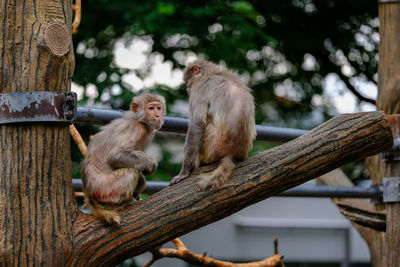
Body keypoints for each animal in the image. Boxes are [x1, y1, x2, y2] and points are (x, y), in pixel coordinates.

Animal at [81, 93, 166, 225]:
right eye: (151, 108)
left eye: (159, 108)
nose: (157, 115)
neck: (140, 120)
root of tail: (89, 193)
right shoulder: (135, 129)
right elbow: (116, 156)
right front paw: (151, 165)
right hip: (106, 189)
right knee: (131, 171)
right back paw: (119, 205)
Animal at [169, 60, 256, 191]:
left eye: (187, 82)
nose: (187, 88)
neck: (210, 73)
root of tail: (233, 153)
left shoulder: (199, 88)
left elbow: (197, 123)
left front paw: (183, 173)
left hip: (215, 148)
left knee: (208, 127)